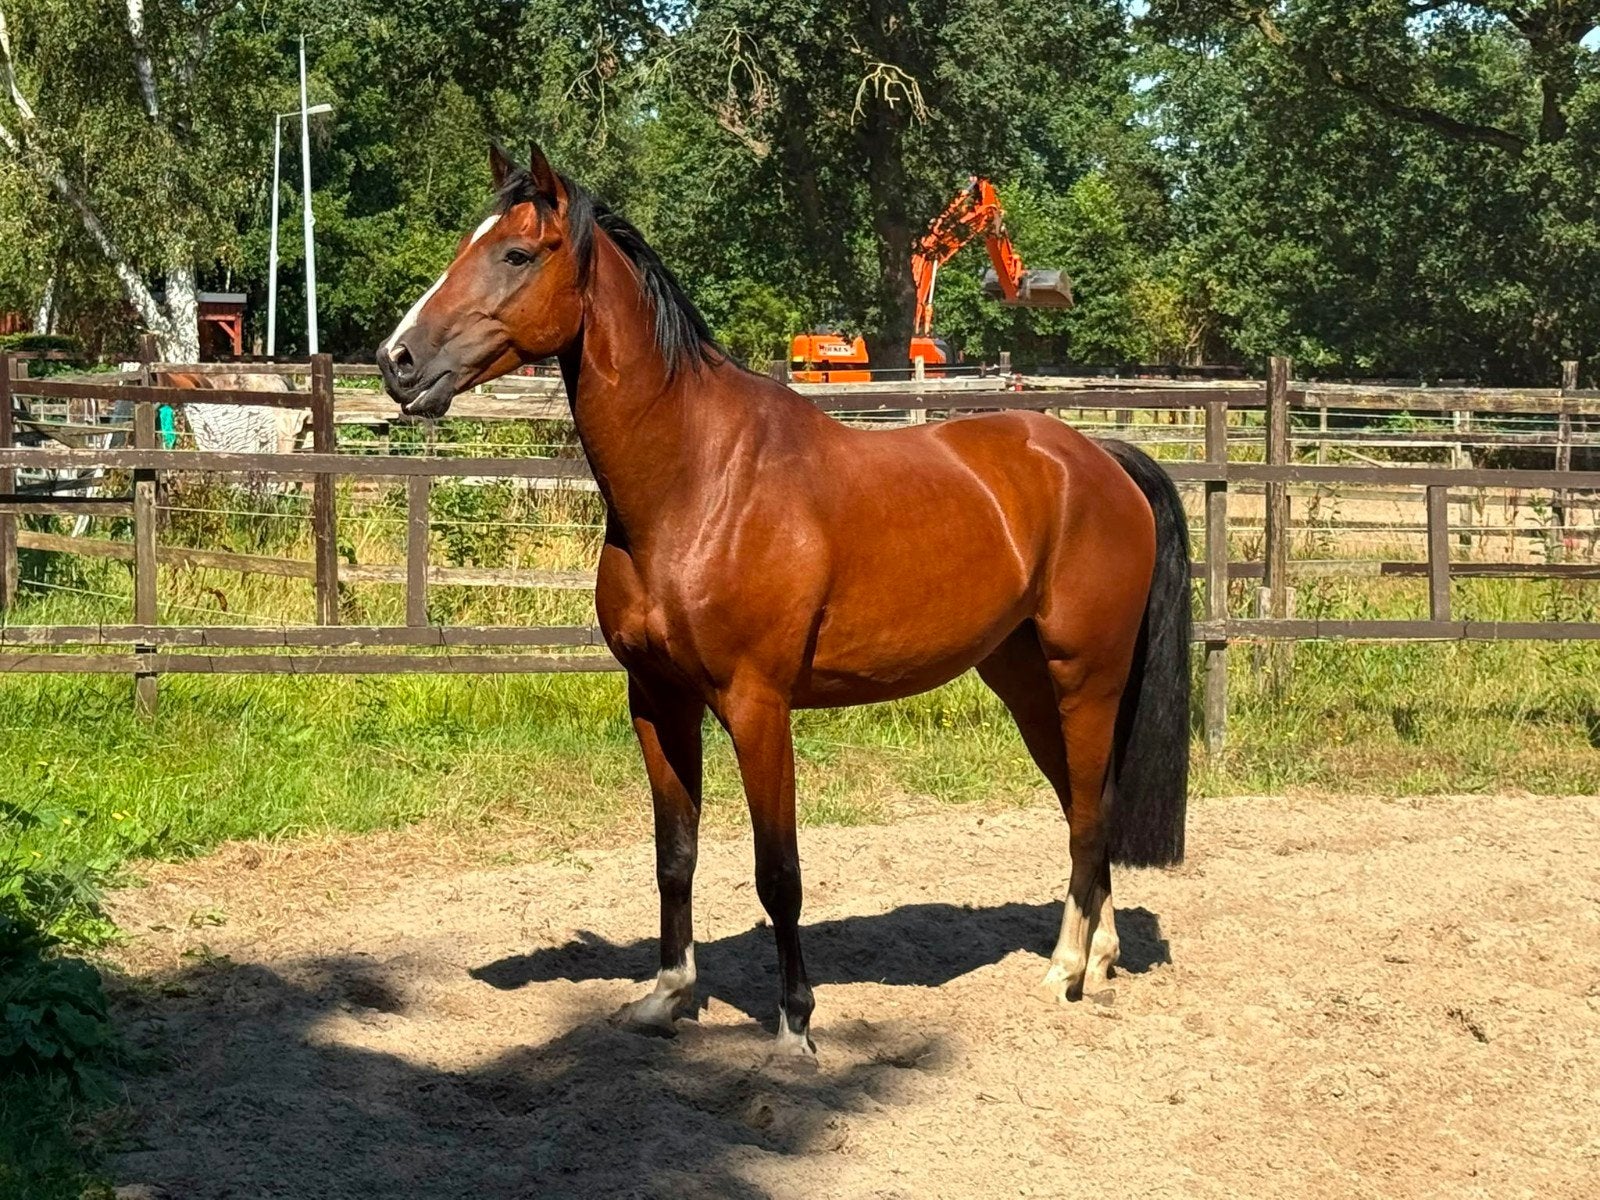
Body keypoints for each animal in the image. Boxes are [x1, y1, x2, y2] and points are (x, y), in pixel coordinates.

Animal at [378, 144, 1191, 1059]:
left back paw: (1066, 972)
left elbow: (779, 873)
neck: (699, 480)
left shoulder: (757, 707)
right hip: (1024, 683)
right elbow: (675, 855)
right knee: (1087, 808)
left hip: (1085, 678)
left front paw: (795, 1023)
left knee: (1088, 814)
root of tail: (1101, 459)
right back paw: (1102, 955)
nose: (397, 360)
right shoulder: (657, 701)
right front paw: (667, 996)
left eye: (517, 253)